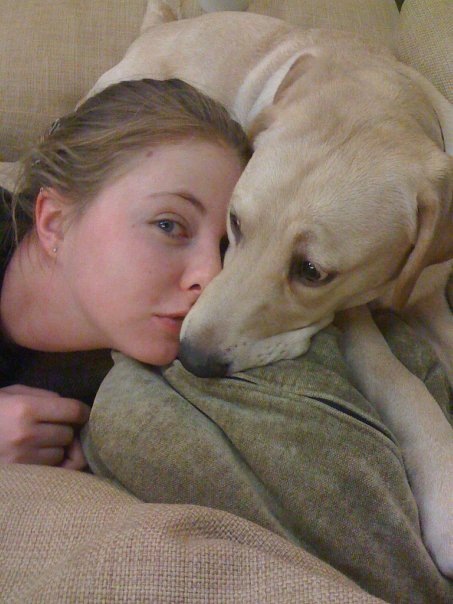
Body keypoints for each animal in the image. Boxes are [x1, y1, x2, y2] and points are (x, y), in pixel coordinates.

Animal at [86, 2, 453, 576]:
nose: (191, 358)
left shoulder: (429, 289)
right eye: (234, 223)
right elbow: (399, 380)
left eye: (311, 272)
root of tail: (161, 27)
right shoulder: (354, 321)